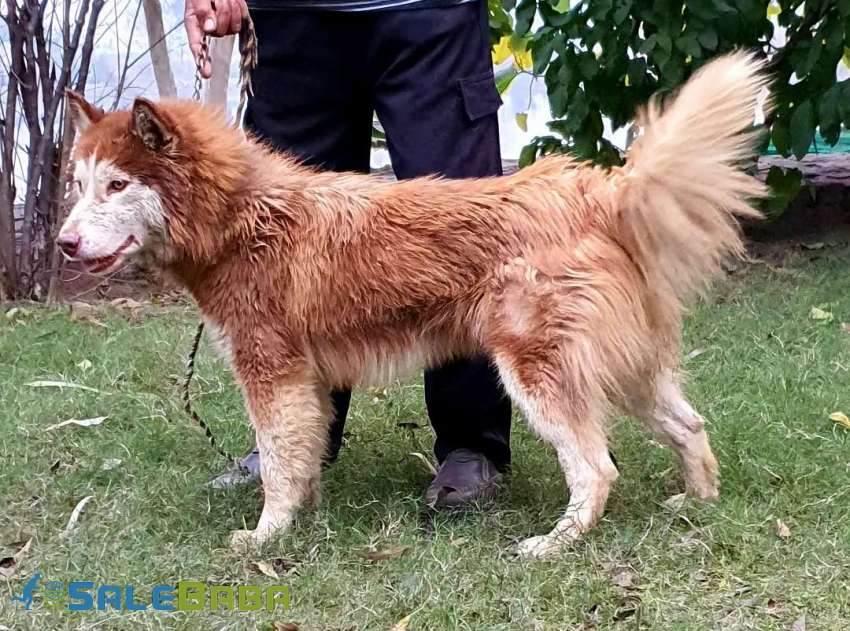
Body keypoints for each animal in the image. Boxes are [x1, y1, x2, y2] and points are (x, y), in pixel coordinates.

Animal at [56, 53, 764, 556]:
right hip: (628, 371)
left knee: (596, 469)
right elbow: (302, 457)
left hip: (539, 374)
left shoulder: (271, 374)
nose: (63, 242)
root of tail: (596, 190)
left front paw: (265, 536)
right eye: (80, 184)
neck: (241, 219)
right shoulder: (305, 382)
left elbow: (279, 464)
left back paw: (552, 545)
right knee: (690, 426)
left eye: (117, 185)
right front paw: (303, 516)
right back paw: (697, 504)